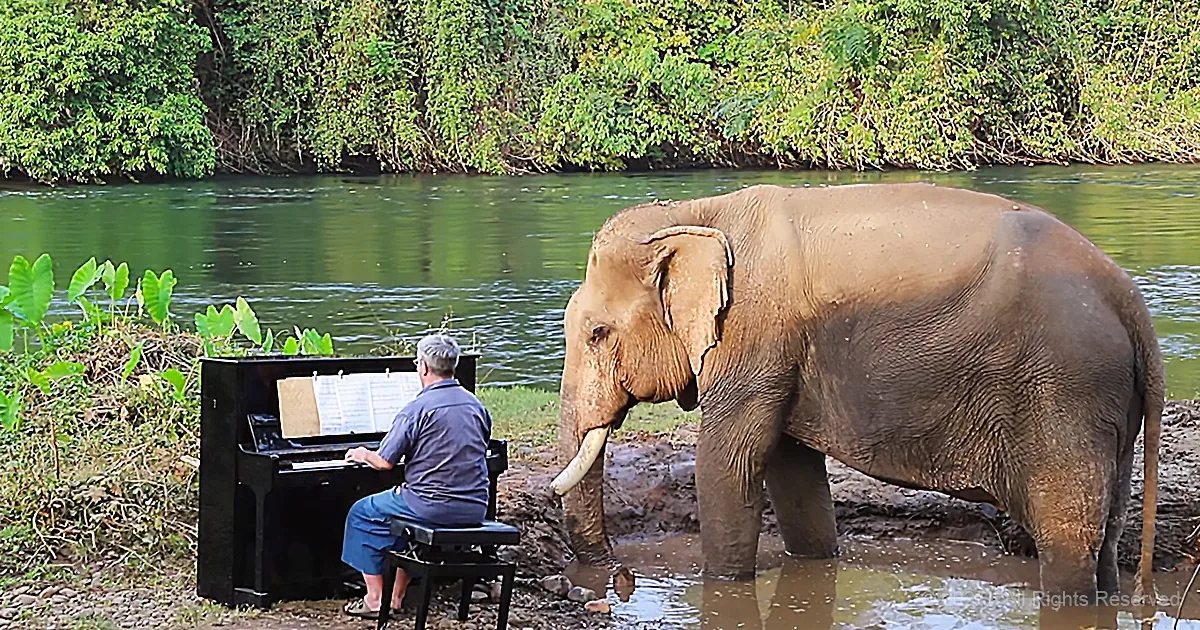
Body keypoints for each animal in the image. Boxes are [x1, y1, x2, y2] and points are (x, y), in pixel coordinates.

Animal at [548, 182, 1162, 603]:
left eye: (598, 333)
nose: (614, 573)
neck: (694, 213)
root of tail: (1129, 299)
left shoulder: (754, 336)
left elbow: (729, 463)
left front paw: (720, 585)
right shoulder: (784, 356)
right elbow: (789, 465)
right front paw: (816, 562)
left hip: (1065, 390)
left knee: (1067, 538)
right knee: (1106, 536)